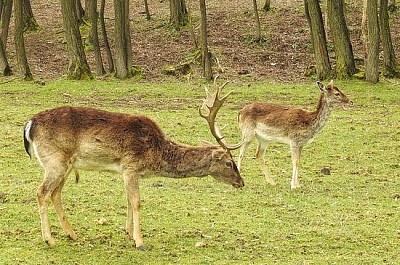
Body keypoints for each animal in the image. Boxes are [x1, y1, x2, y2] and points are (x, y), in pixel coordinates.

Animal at [24, 84, 244, 248]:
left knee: (55, 193)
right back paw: (49, 239)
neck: (156, 153)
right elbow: (137, 201)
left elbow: (129, 200)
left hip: (66, 165)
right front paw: (140, 241)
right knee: (41, 192)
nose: (241, 182)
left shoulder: (127, 171)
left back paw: (72, 234)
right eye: (229, 163)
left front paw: (128, 232)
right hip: (54, 160)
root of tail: (30, 123)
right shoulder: (131, 166)